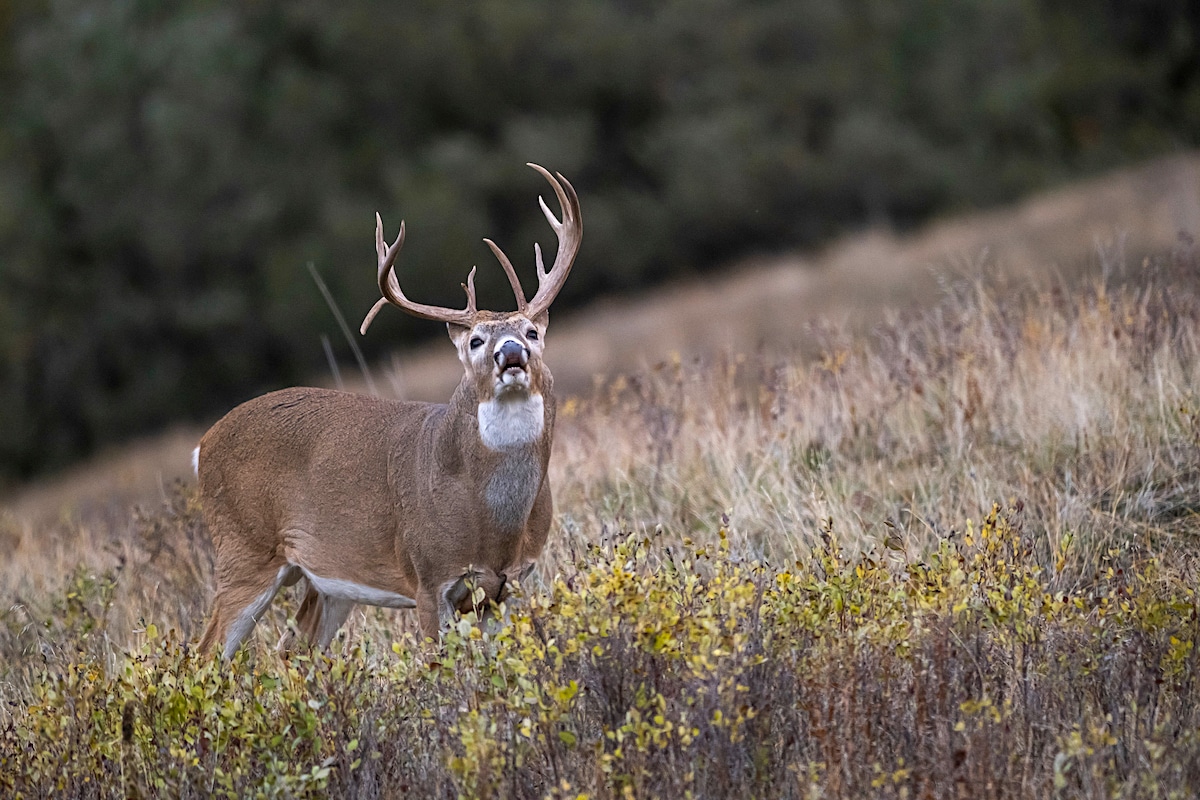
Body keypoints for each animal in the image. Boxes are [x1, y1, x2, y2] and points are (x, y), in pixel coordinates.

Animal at [195, 163, 581, 660]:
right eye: (476, 340)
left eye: (532, 331)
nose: (511, 352)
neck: (492, 526)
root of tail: (202, 446)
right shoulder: (428, 576)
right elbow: (441, 664)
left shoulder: (509, 585)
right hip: (243, 550)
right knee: (204, 654)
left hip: (327, 579)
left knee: (295, 647)